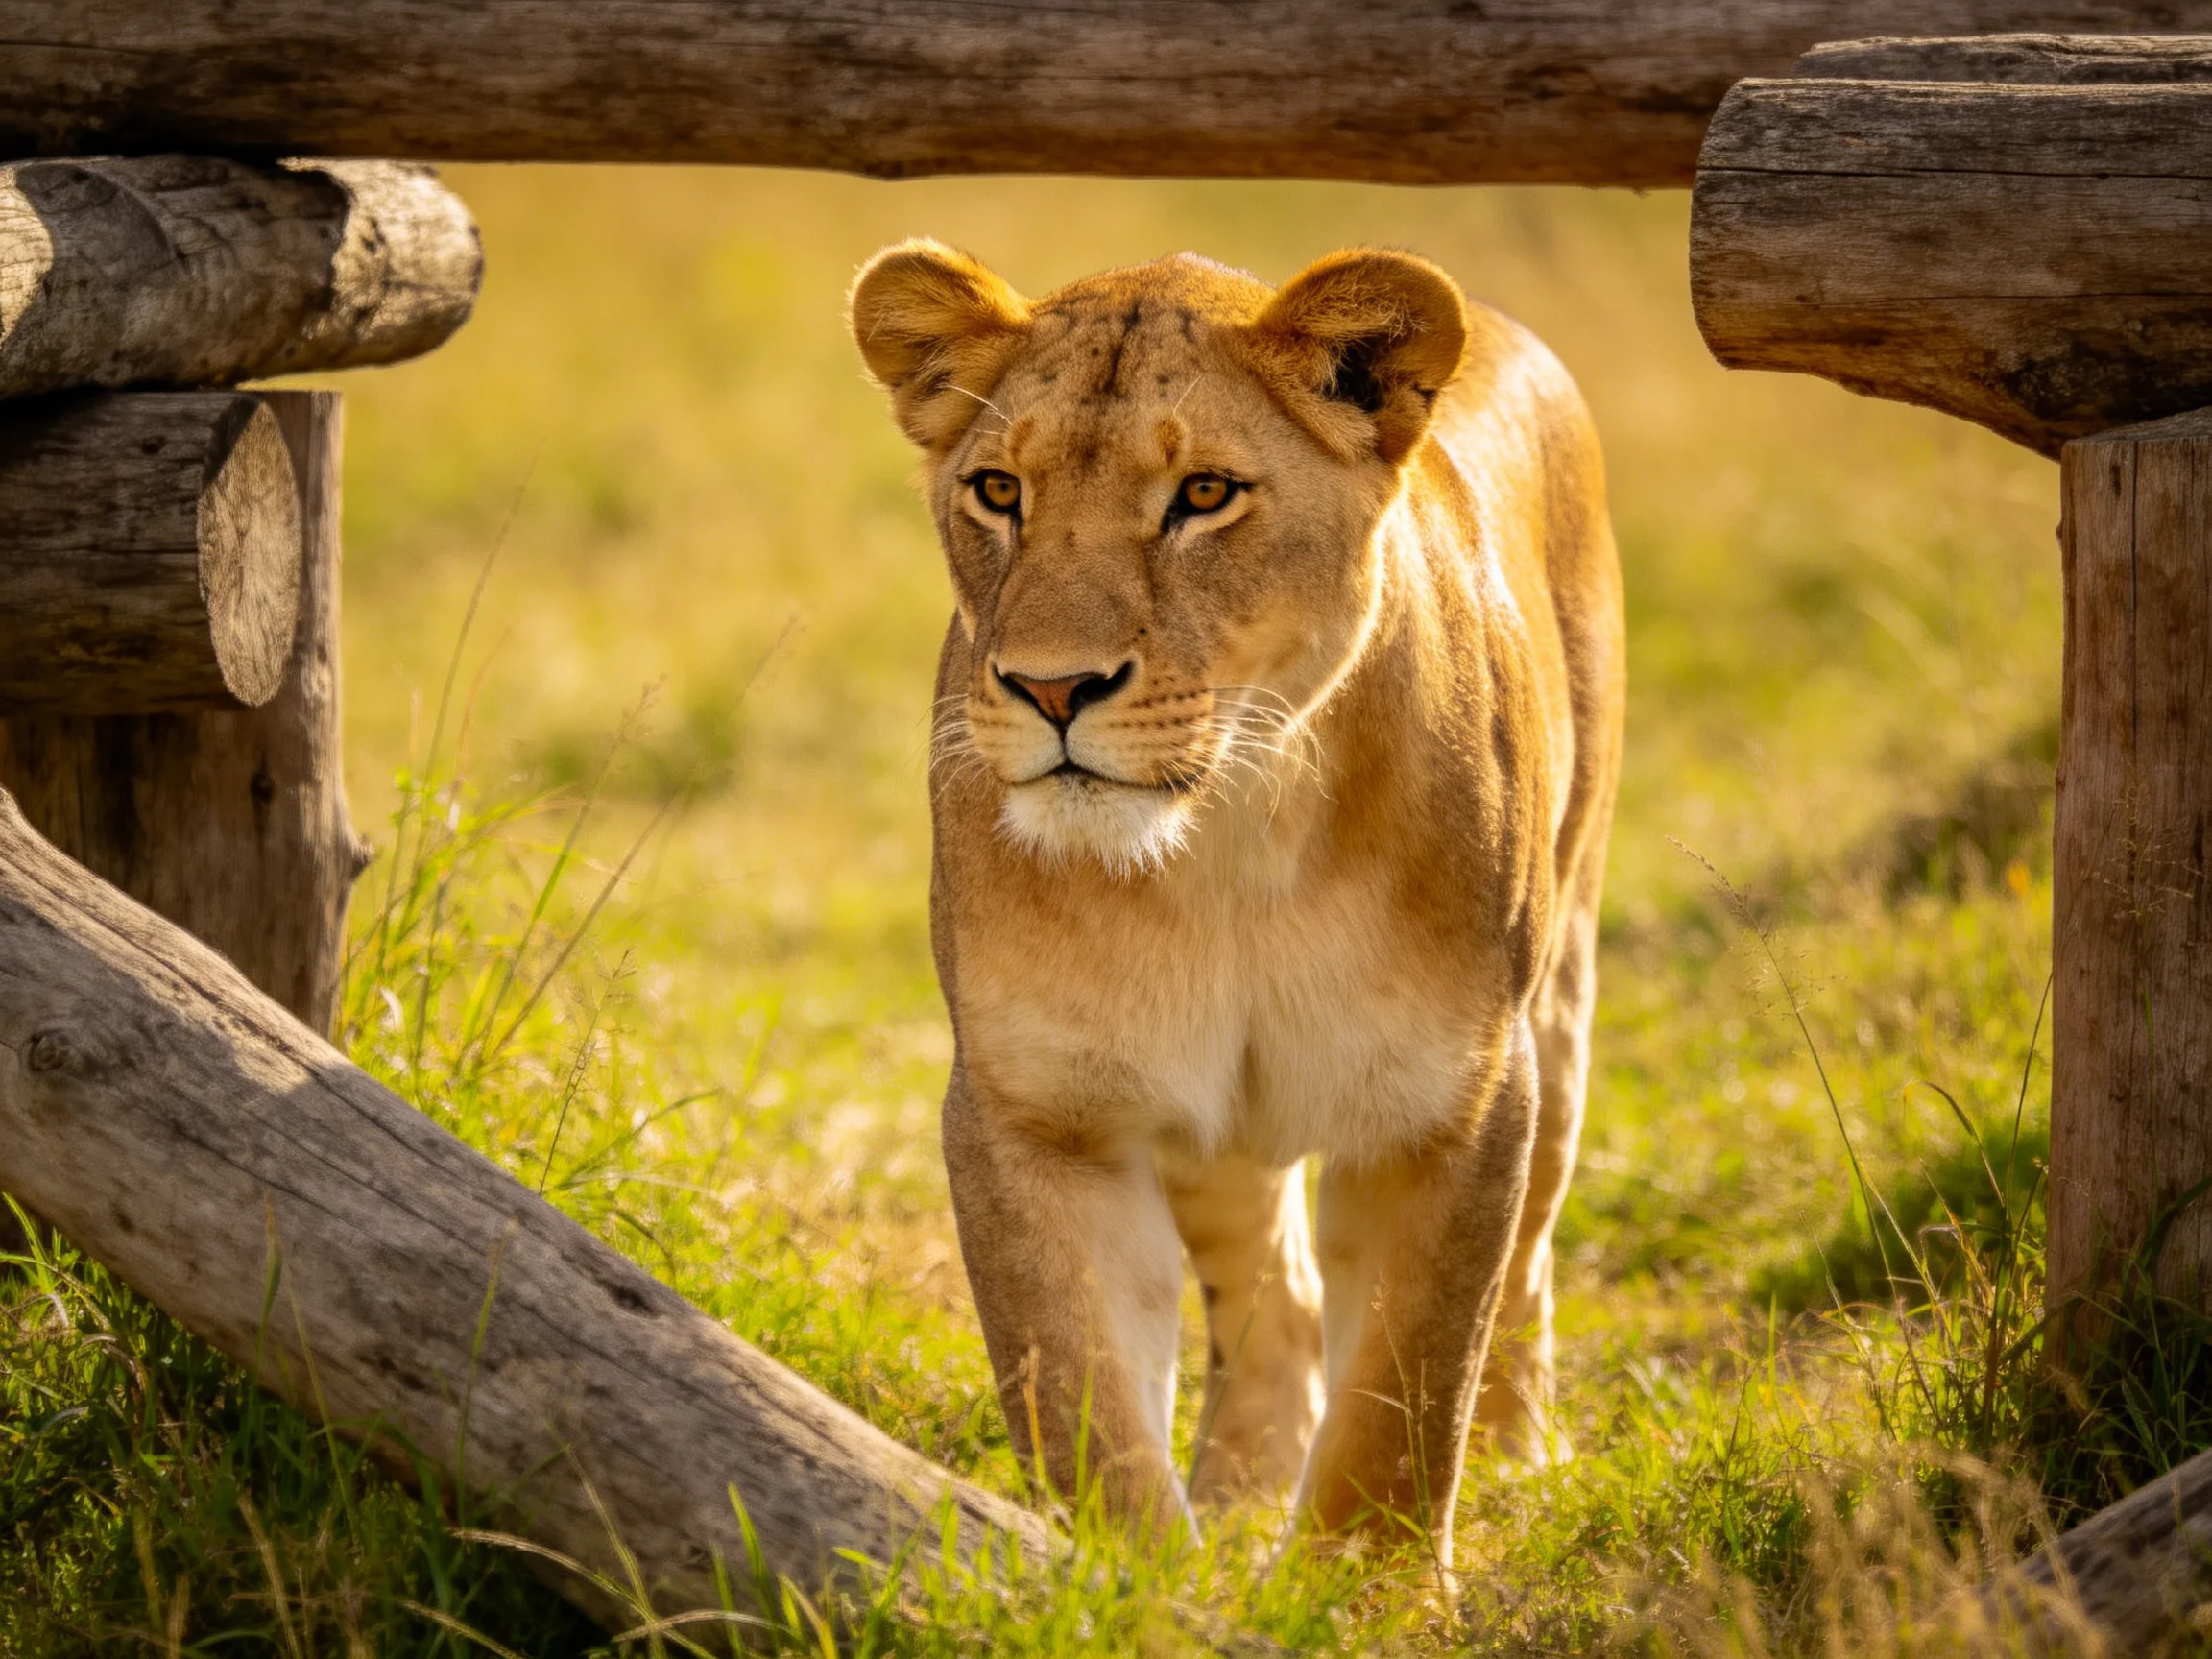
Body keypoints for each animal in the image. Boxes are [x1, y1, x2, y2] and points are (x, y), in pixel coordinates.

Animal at [848, 241, 1623, 1561]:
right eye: (999, 490)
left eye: (1204, 494)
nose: (1052, 688)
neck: (1229, 847)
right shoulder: (1039, 1111)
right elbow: (1083, 1402)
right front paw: (1131, 1581)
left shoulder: (1450, 1106)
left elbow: (1407, 1399)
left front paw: (1366, 1590)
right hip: (1207, 1123)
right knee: (1275, 1287)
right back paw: (1247, 1489)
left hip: (1560, 1004)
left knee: (1527, 1262)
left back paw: (1519, 1457)